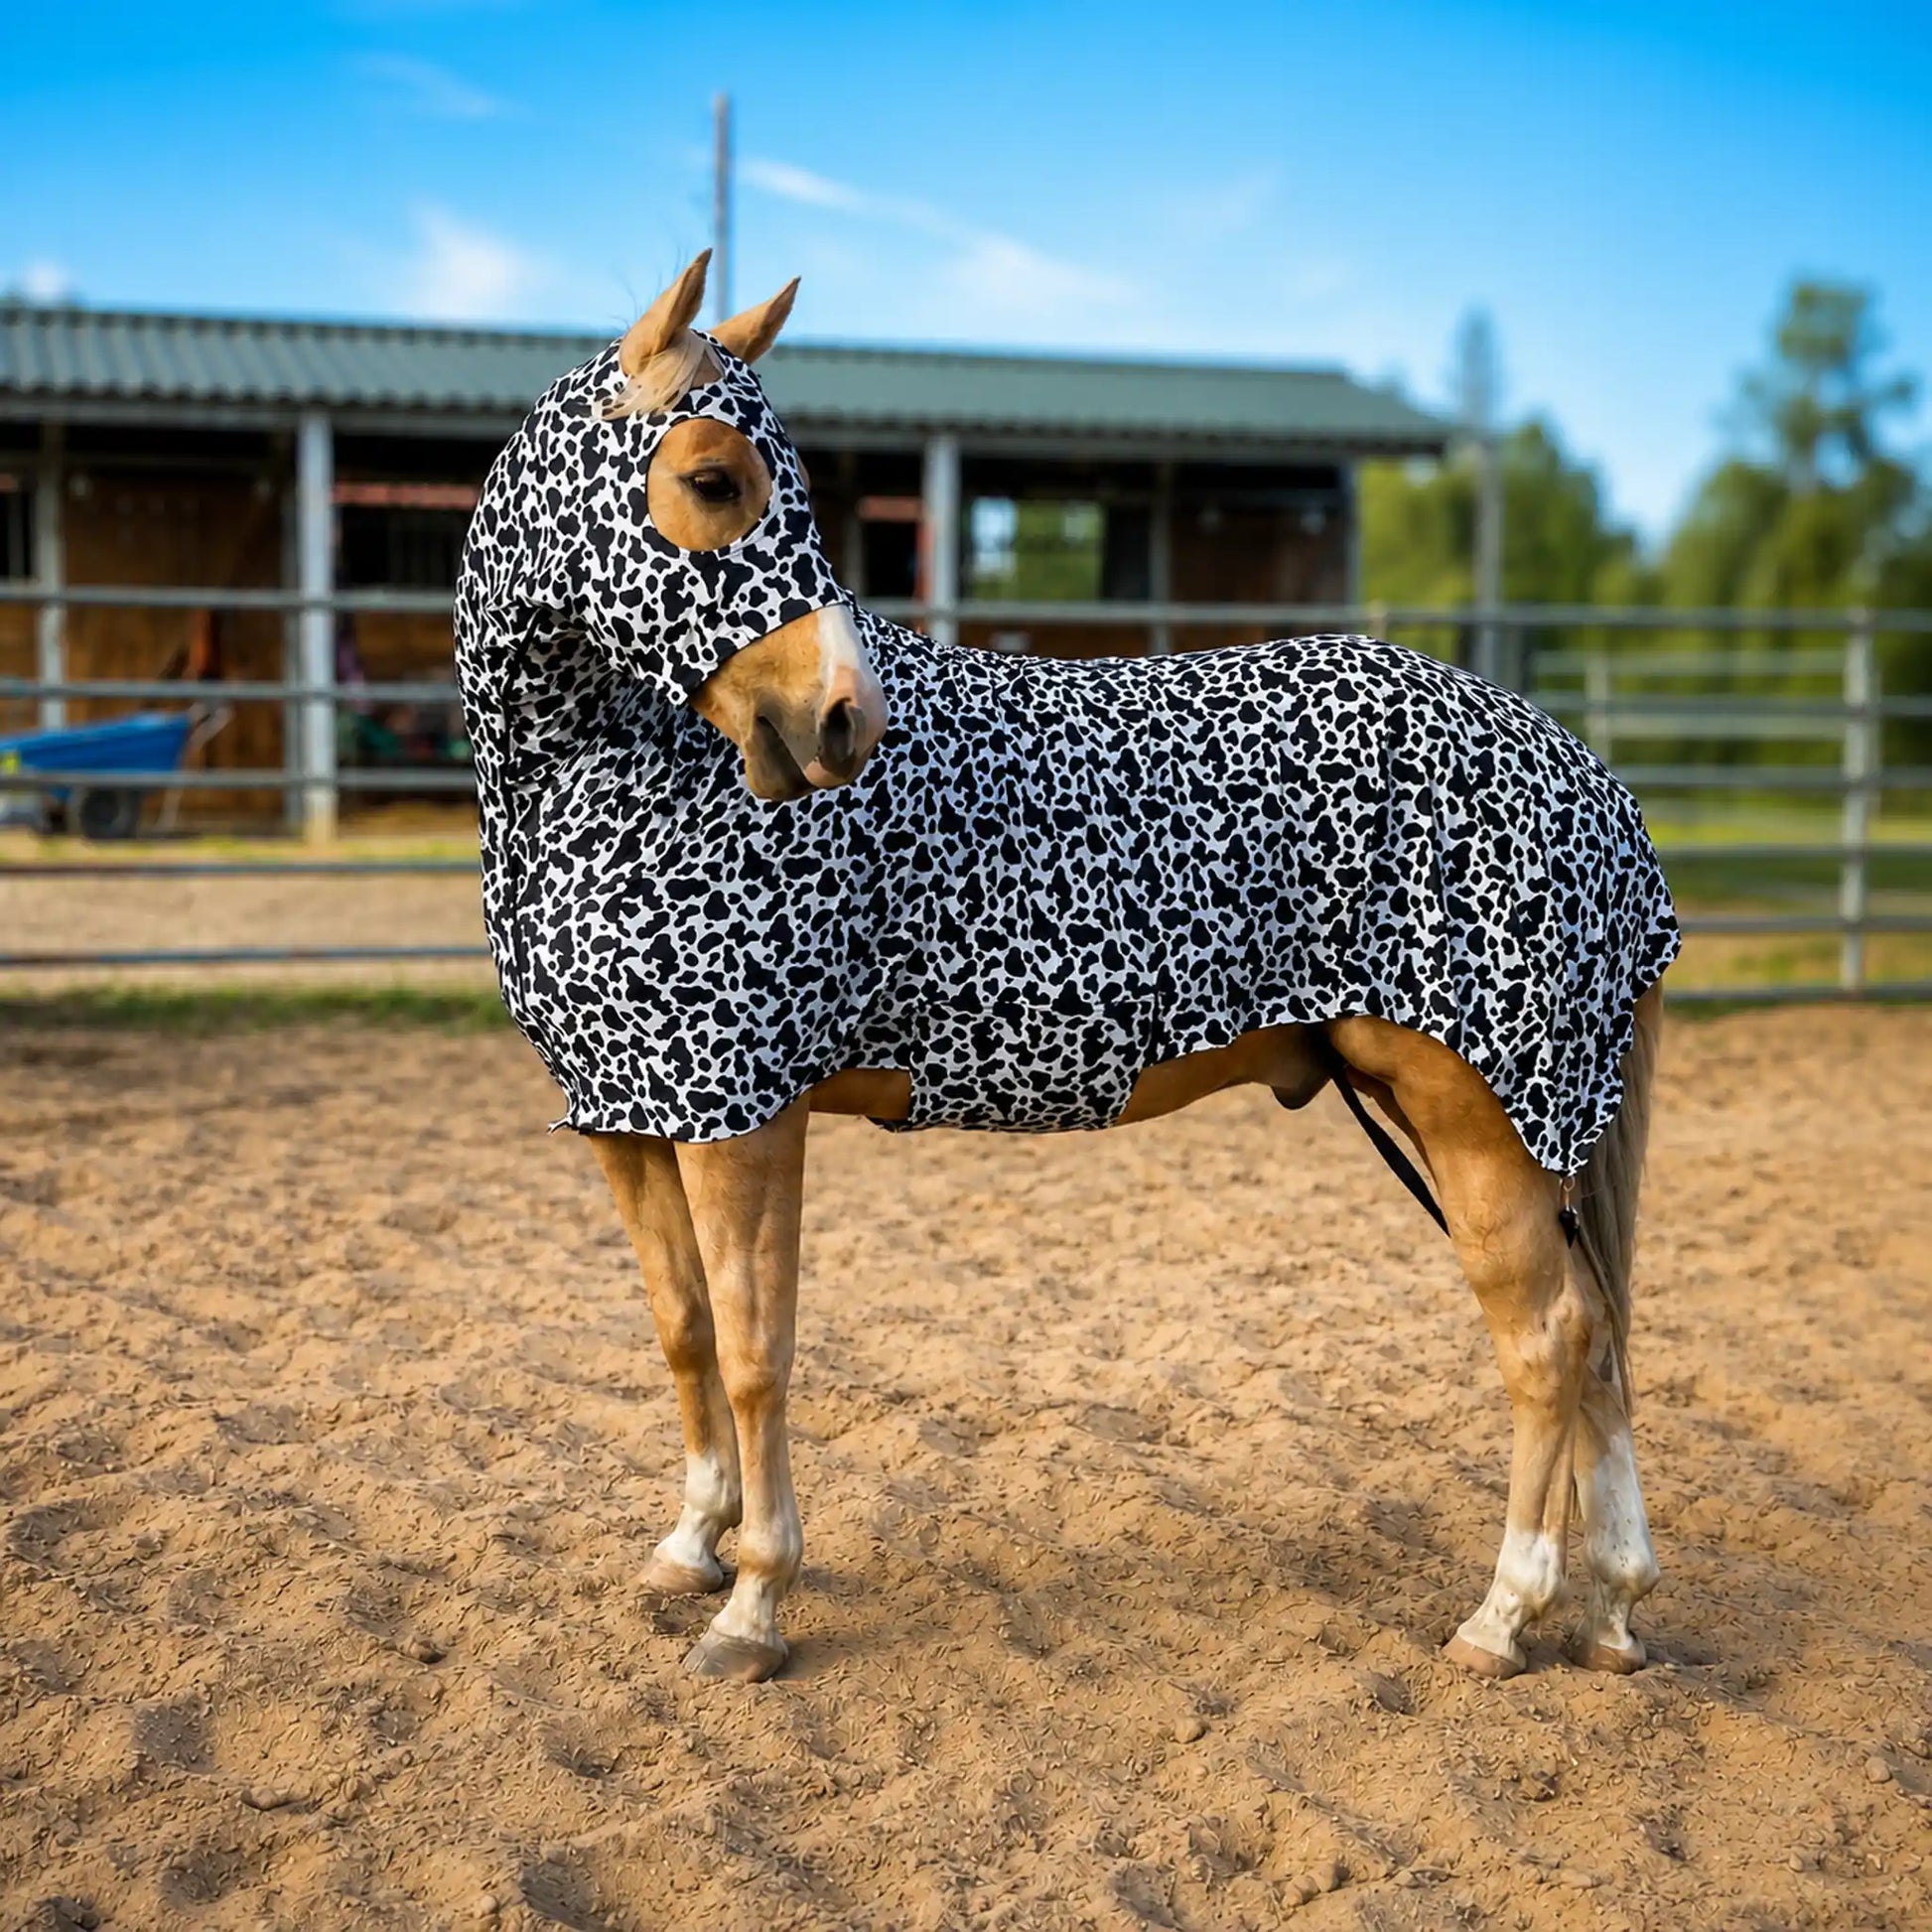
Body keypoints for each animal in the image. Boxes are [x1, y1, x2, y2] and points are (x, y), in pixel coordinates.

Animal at [454, 252, 1679, 1685]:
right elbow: (684, 1330)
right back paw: (1608, 1608)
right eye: (712, 478)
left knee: (1546, 1344)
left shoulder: (741, 1120)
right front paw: (690, 1545)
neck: (618, 791)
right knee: (1598, 1337)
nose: (843, 721)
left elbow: (759, 1349)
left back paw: (1501, 1613)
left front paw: (751, 1603)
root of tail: (1585, 776)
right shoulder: (630, 1119)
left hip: (1474, 1118)